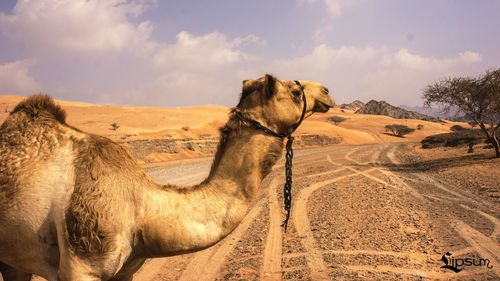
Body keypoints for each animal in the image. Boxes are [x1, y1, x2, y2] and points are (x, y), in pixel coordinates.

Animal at [0, 74, 336, 280]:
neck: (142, 206)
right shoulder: (82, 267)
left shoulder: (127, 269)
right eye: (294, 91)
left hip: (12, 256)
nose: (327, 92)